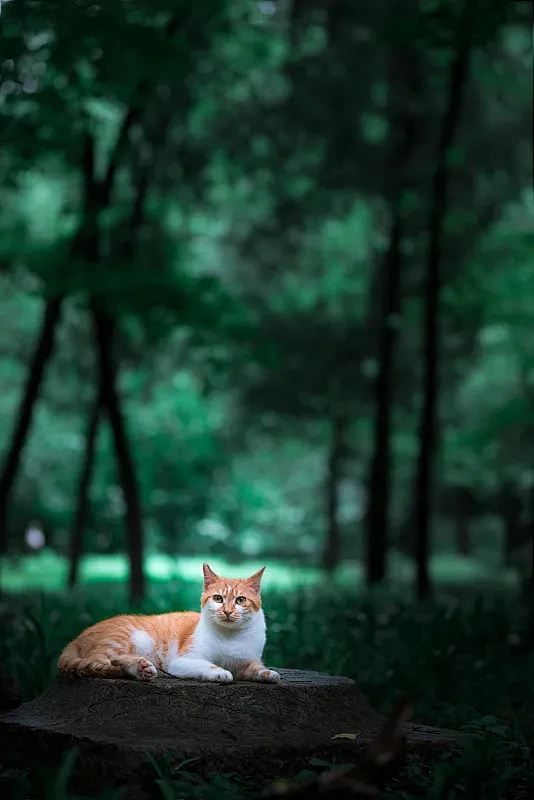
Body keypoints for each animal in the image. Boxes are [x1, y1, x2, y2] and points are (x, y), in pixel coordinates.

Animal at [59, 560, 282, 684]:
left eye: (240, 600)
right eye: (218, 598)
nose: (227, 611)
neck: (229, 636)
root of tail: (77, 637)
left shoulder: (246, 662)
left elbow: (255, 668)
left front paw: (268, 673)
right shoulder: (183, 661)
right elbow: (208, 665)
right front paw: (220, 672)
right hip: (128, 642)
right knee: (101, 663)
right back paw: (138, 667)